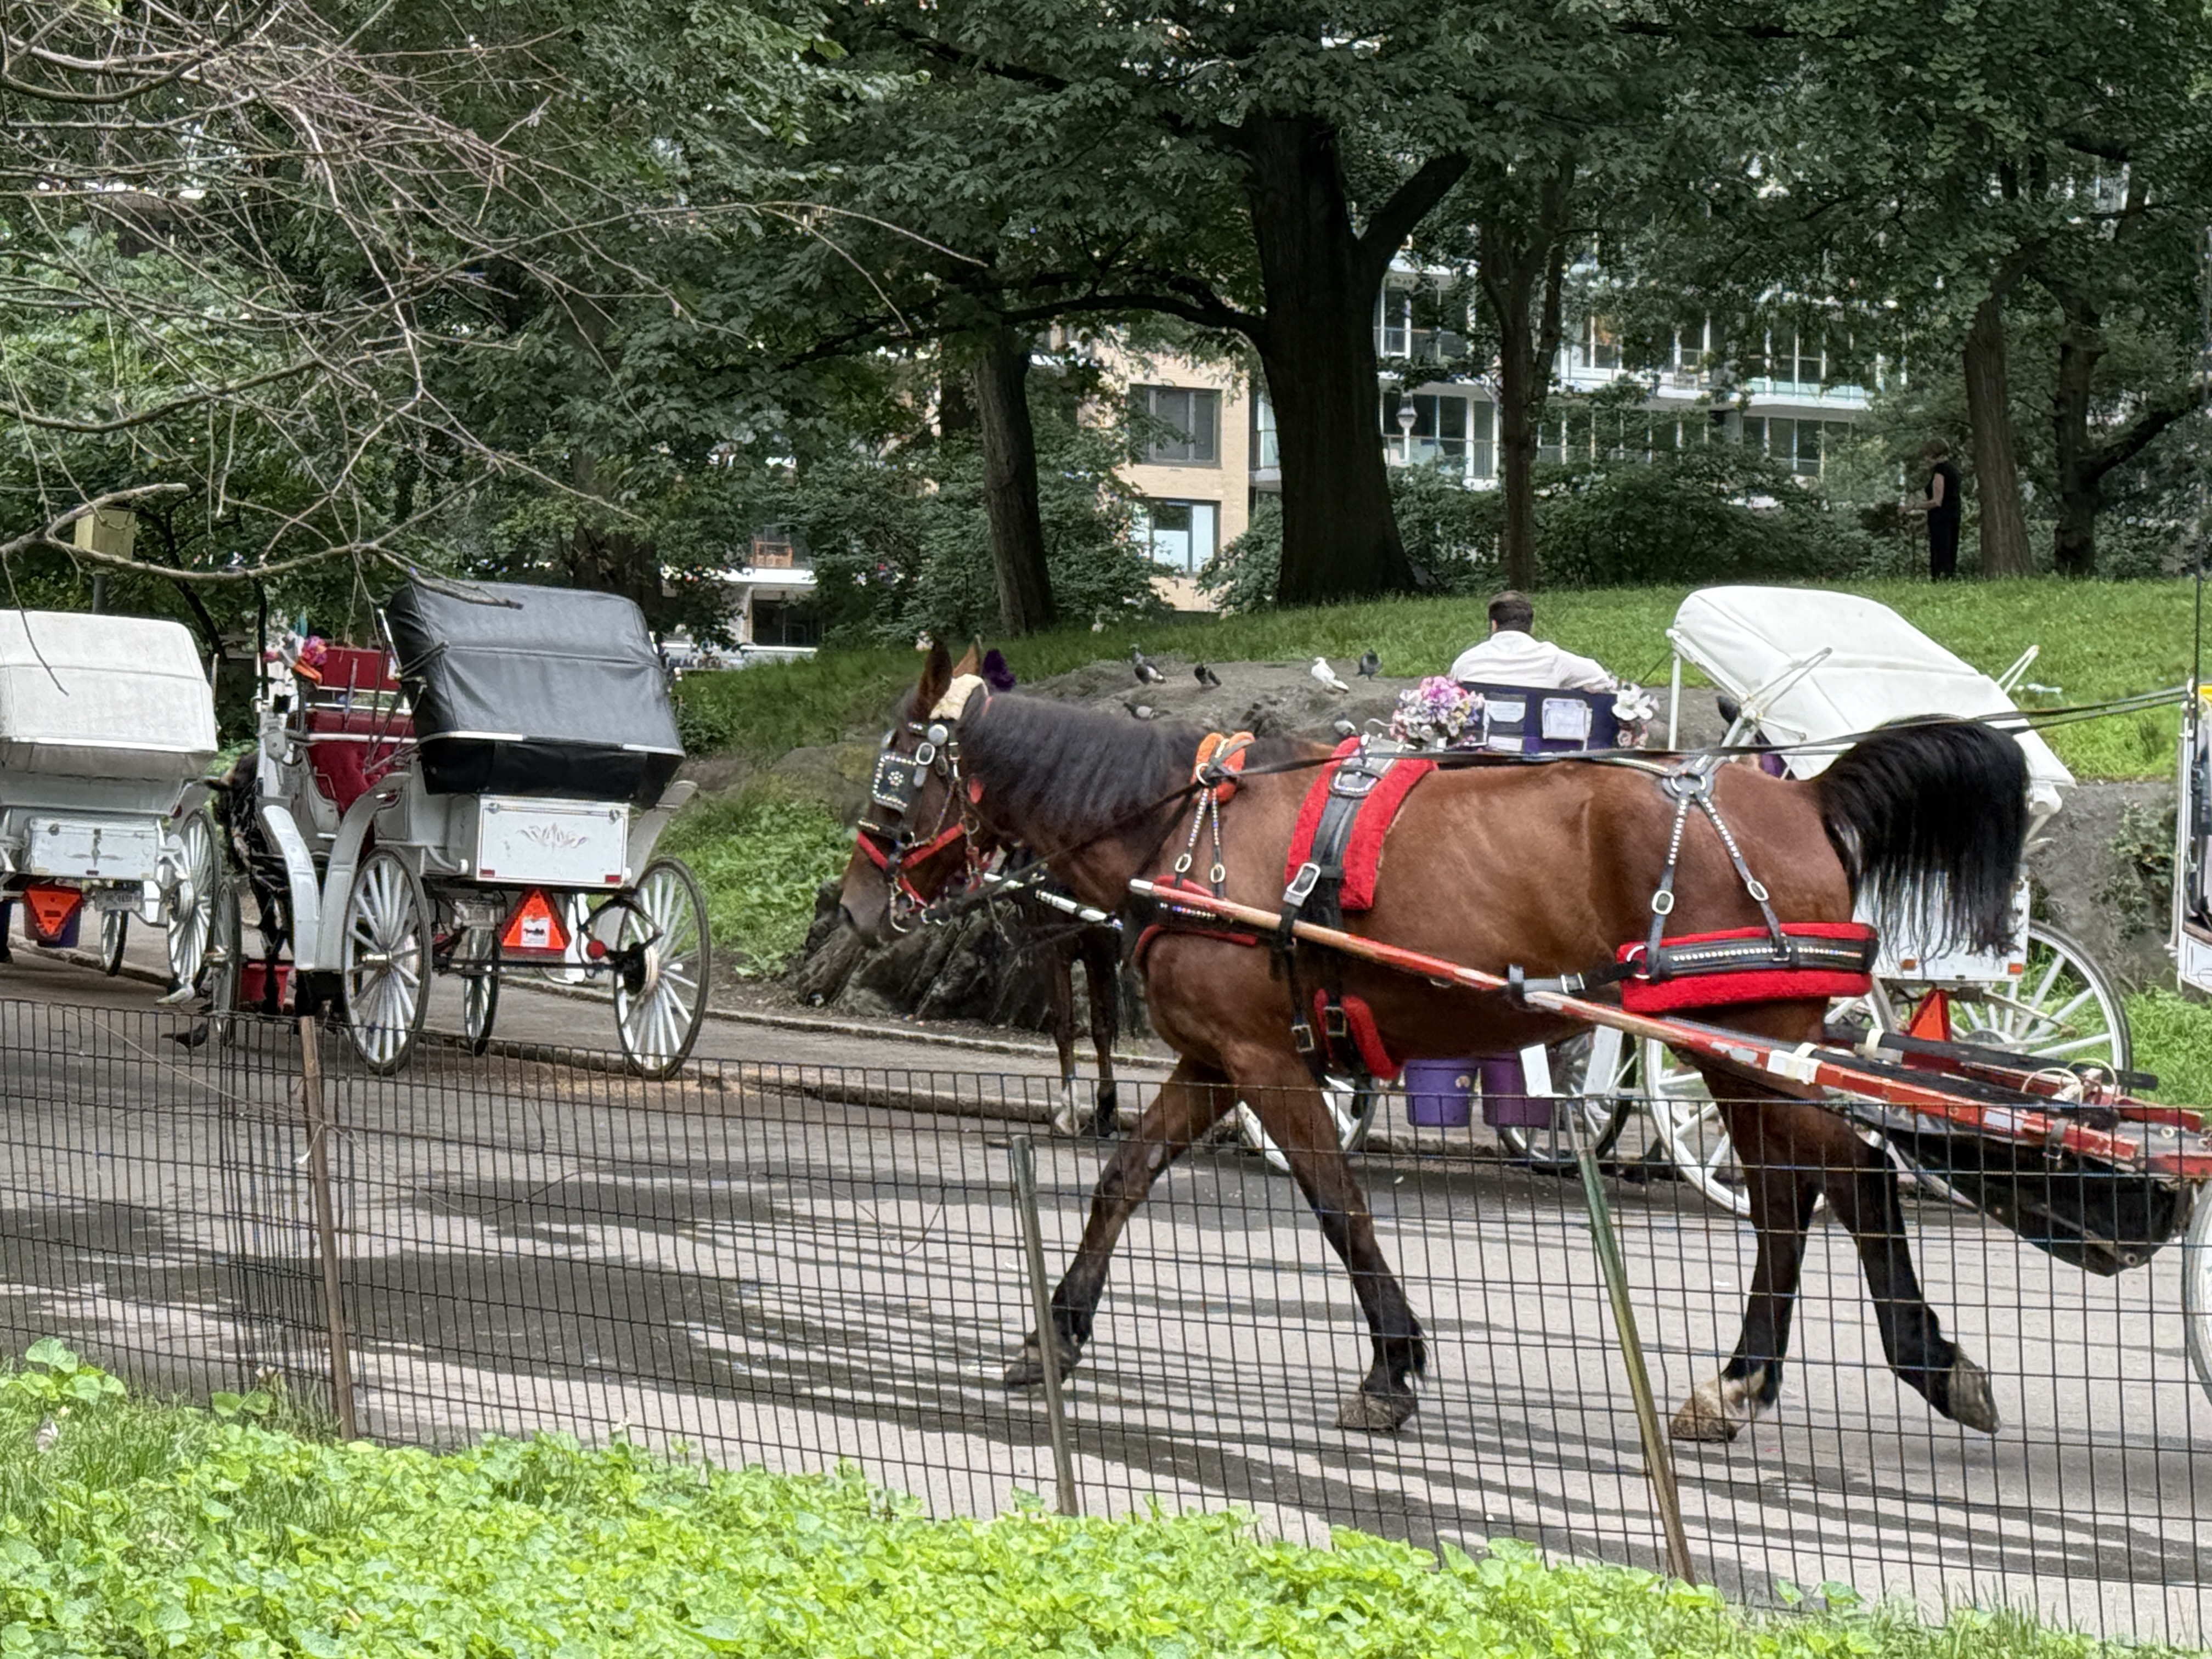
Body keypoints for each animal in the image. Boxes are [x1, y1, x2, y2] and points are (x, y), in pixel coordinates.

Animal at [837, 643, 2028, 1440]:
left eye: (898, 766)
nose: (850, 903)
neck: (1181, 826)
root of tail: (1803, 793)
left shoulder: (1265, 1063)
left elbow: (1337, 1204)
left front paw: (1391, 1364)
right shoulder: (1217, 1060)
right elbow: (1122, 1179)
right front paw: (1055, 1332)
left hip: (1737, 1047)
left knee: (1838, 1178)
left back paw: (1874, 1365)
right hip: (1739, 1049)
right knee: (1801, 1193)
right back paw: (1756, 1380)